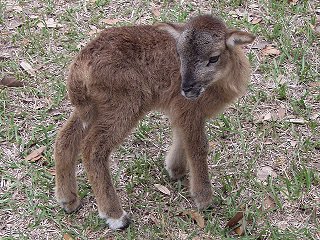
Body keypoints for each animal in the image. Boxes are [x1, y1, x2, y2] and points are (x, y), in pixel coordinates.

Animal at [54, 14, 255, 229]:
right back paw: (116, 216)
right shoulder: (189, 109)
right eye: (179, 55)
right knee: (92, 149)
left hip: (93, 107)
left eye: (214, 58)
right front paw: (203, 198)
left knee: (65, 138)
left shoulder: (180, 111)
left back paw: (68, 200)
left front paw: (175, 170)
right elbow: (198, 147)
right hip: (124, 104)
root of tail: (80, 66)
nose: (186, 88)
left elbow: (182, 137)